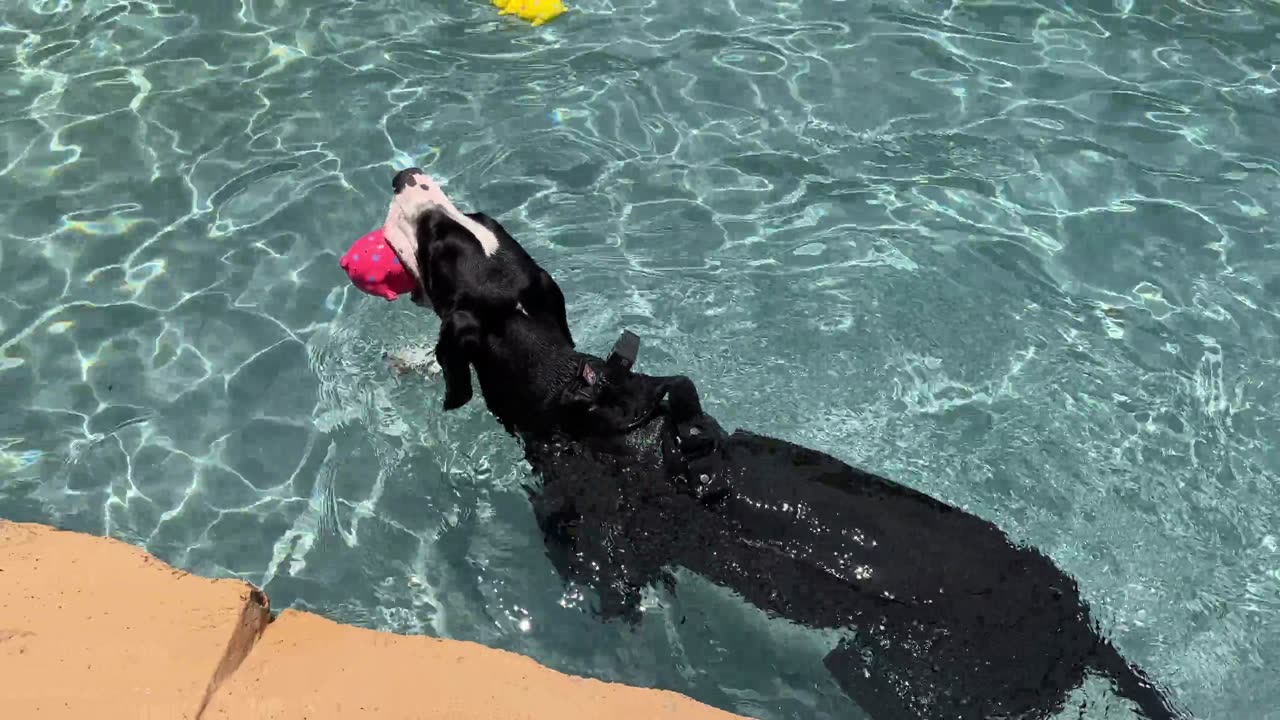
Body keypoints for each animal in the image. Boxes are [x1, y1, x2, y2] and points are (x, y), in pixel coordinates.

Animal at [384, 167, 1182, 717]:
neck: (571, 392)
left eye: (438, 243)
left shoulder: (596, 541)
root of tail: (1080, 630)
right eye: (468, 220)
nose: (403, 175)